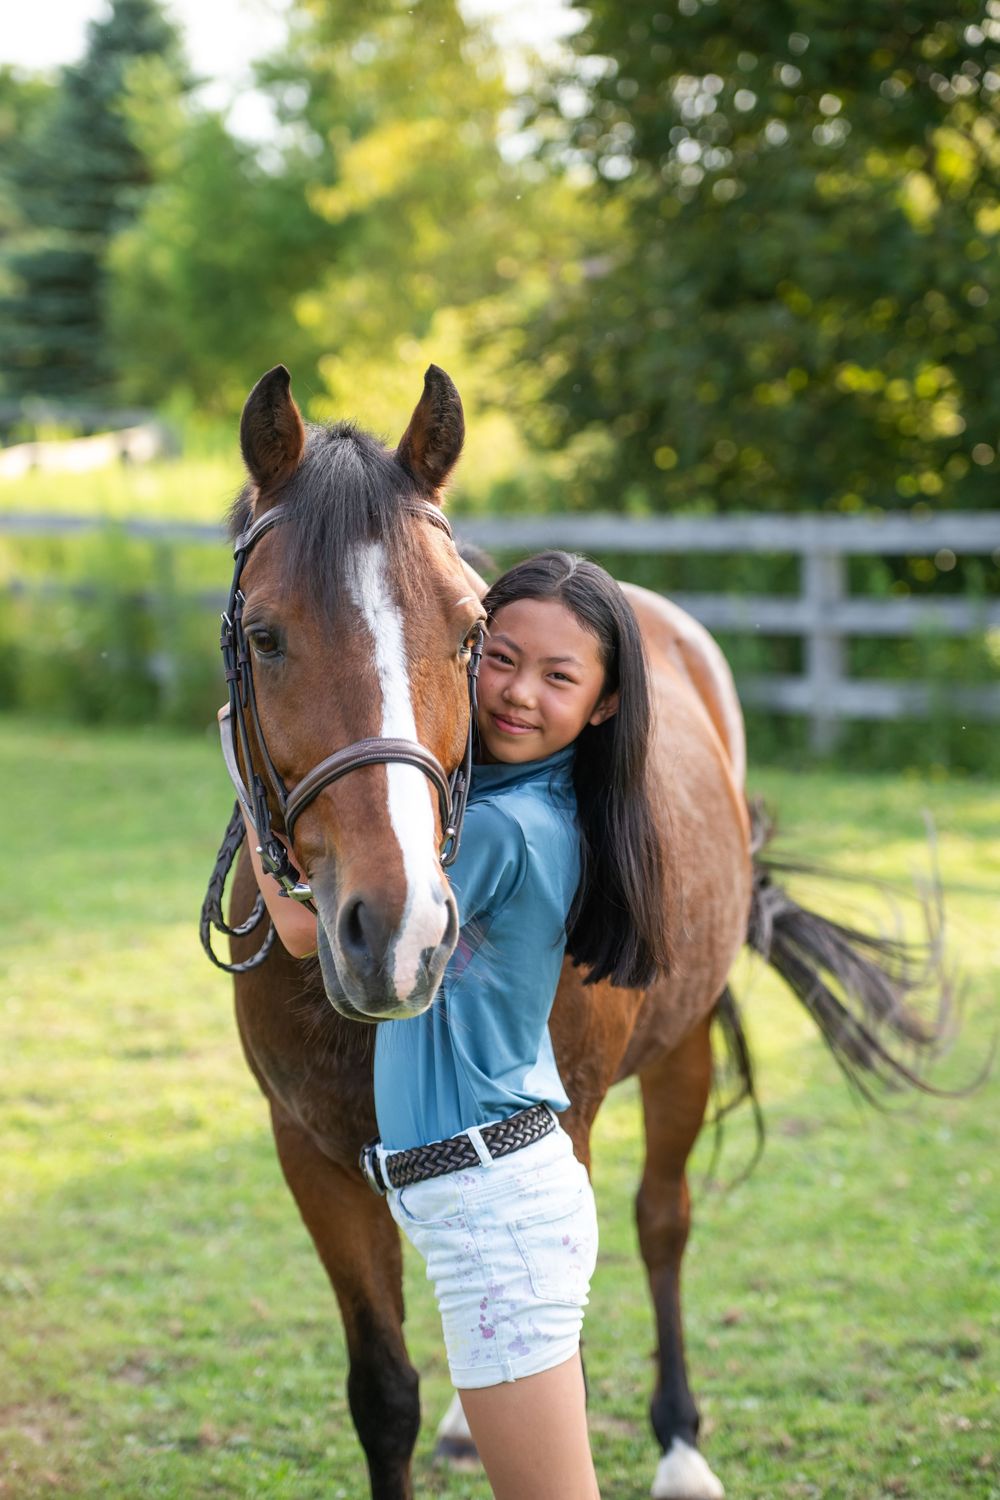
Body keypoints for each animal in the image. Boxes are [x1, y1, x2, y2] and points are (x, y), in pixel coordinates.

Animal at [202, 362, 944, 1500]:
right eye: (265, 636)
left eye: (470, 632)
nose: (400, 930)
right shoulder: (311, 1157)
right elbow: (384, 1394)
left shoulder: (570, 1122)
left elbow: (571, 1356)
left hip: (680, 1053)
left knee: (661, 1224)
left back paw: (680, 1445)